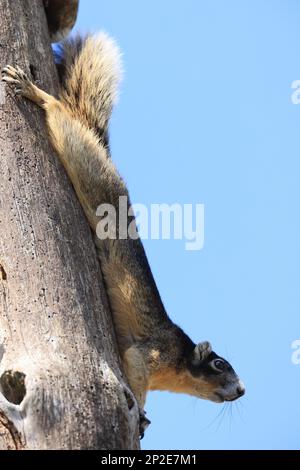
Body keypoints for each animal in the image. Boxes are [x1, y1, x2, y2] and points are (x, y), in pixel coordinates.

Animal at [1, 32, 246, 436]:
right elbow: (135, 373)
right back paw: (34, 92)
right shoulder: (148, 353)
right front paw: (142, 414)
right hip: (88, 167)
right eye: (219, 365)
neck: (178, 365)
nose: (243, 390)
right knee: (63, 119)